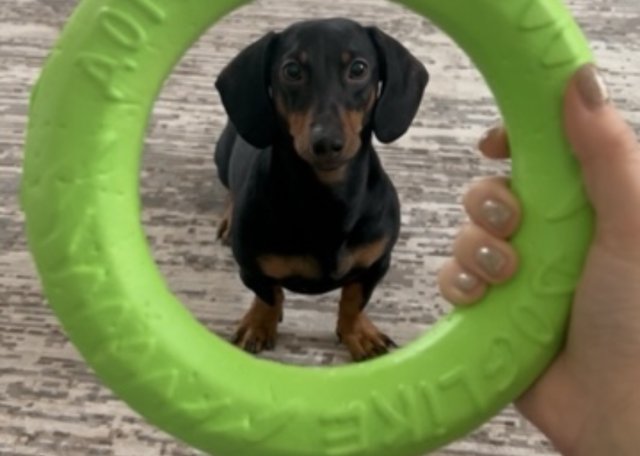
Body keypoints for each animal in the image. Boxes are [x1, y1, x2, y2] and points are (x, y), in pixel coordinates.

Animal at [213, 18, 428, 361]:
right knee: (230, 190)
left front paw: (358, 334)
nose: (326, 143)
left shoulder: (376, 264)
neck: (327, 199)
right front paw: (259, 325)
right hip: (221, 156)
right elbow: (269, 296)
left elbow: (354, 301)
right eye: (291, 70)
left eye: (358, 68)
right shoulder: (251, 269)